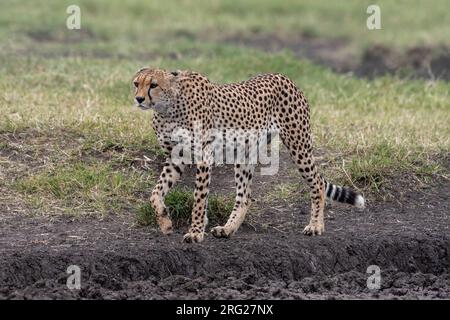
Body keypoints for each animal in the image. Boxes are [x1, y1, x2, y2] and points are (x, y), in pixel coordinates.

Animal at [132, 68, 364, 242]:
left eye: (153, 85)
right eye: (136, 83)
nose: (139, 99)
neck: (167, 109)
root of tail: (284, 77)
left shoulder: (204, 157)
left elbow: (199, 198)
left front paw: (196, 232)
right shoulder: (177, 157)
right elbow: (156, 192)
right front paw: (165, 221)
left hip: (299, 145)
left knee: (317, 183)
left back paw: (315, 225)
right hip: (244, 153)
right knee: (244, 196)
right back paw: (227, 229)